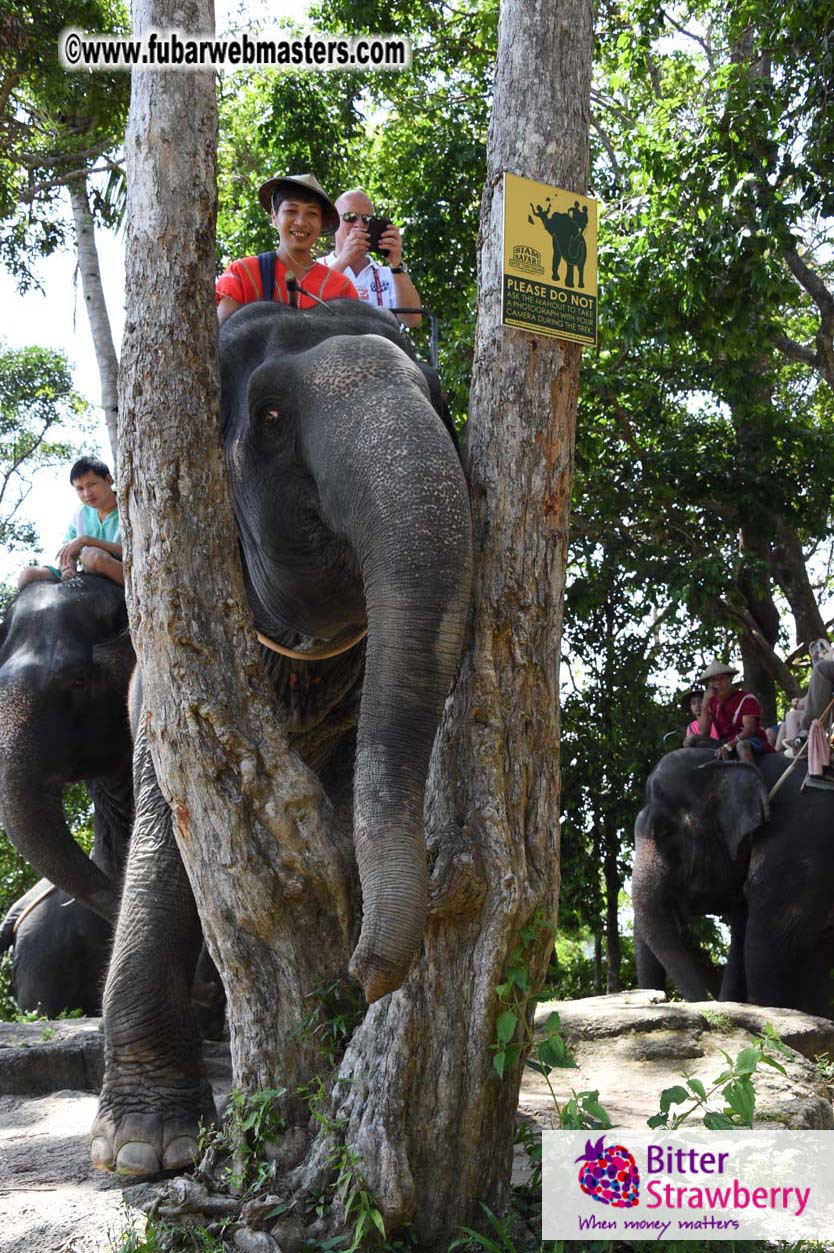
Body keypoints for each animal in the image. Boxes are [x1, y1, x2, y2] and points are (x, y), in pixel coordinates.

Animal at [89, 300, 473, 1175]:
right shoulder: (162, 672)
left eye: (438, 398)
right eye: (267, 419)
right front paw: (146, 1148)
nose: (365, 973)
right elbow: (166, 834)